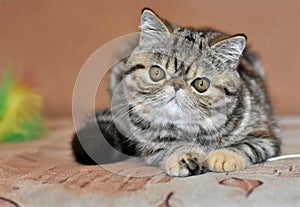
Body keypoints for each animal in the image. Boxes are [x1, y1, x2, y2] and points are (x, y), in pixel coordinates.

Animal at [72, 8, 282, 176]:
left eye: (201, 84)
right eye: (156, 73)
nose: (176, 84)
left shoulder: (266, 133)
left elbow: (248, 145)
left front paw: (225, 156)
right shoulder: (151, 147)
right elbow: (168, 148)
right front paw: (184, 155)